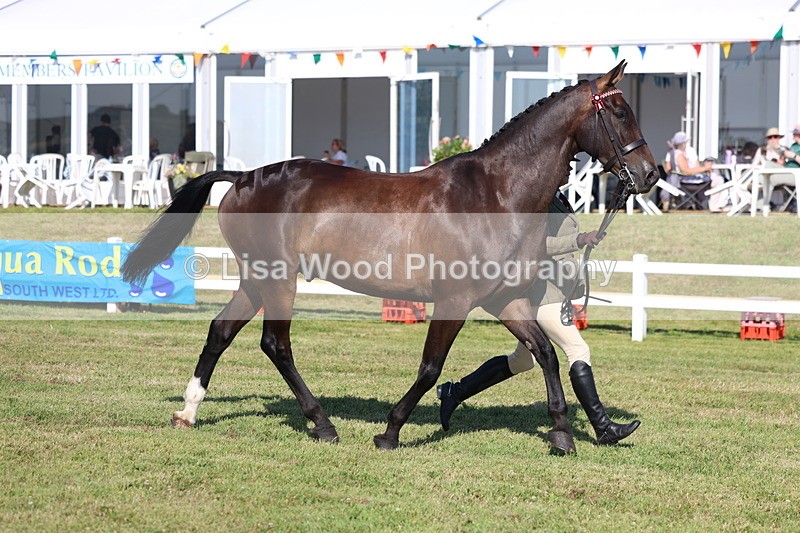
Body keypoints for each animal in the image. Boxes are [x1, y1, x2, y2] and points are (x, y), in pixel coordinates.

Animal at [122, 61, 658, 453]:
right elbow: (431, 368)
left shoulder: (503, 299)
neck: (496, 193)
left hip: (255, 280)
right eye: (619, 113)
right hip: (277, 280)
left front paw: (564, 433)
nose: (650, 174)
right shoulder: (455, 301)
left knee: (220, 331)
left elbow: (545, 353)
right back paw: (322, 424)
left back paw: (188, 411)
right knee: (276, 345)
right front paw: (390, 431)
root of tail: (243, 177)